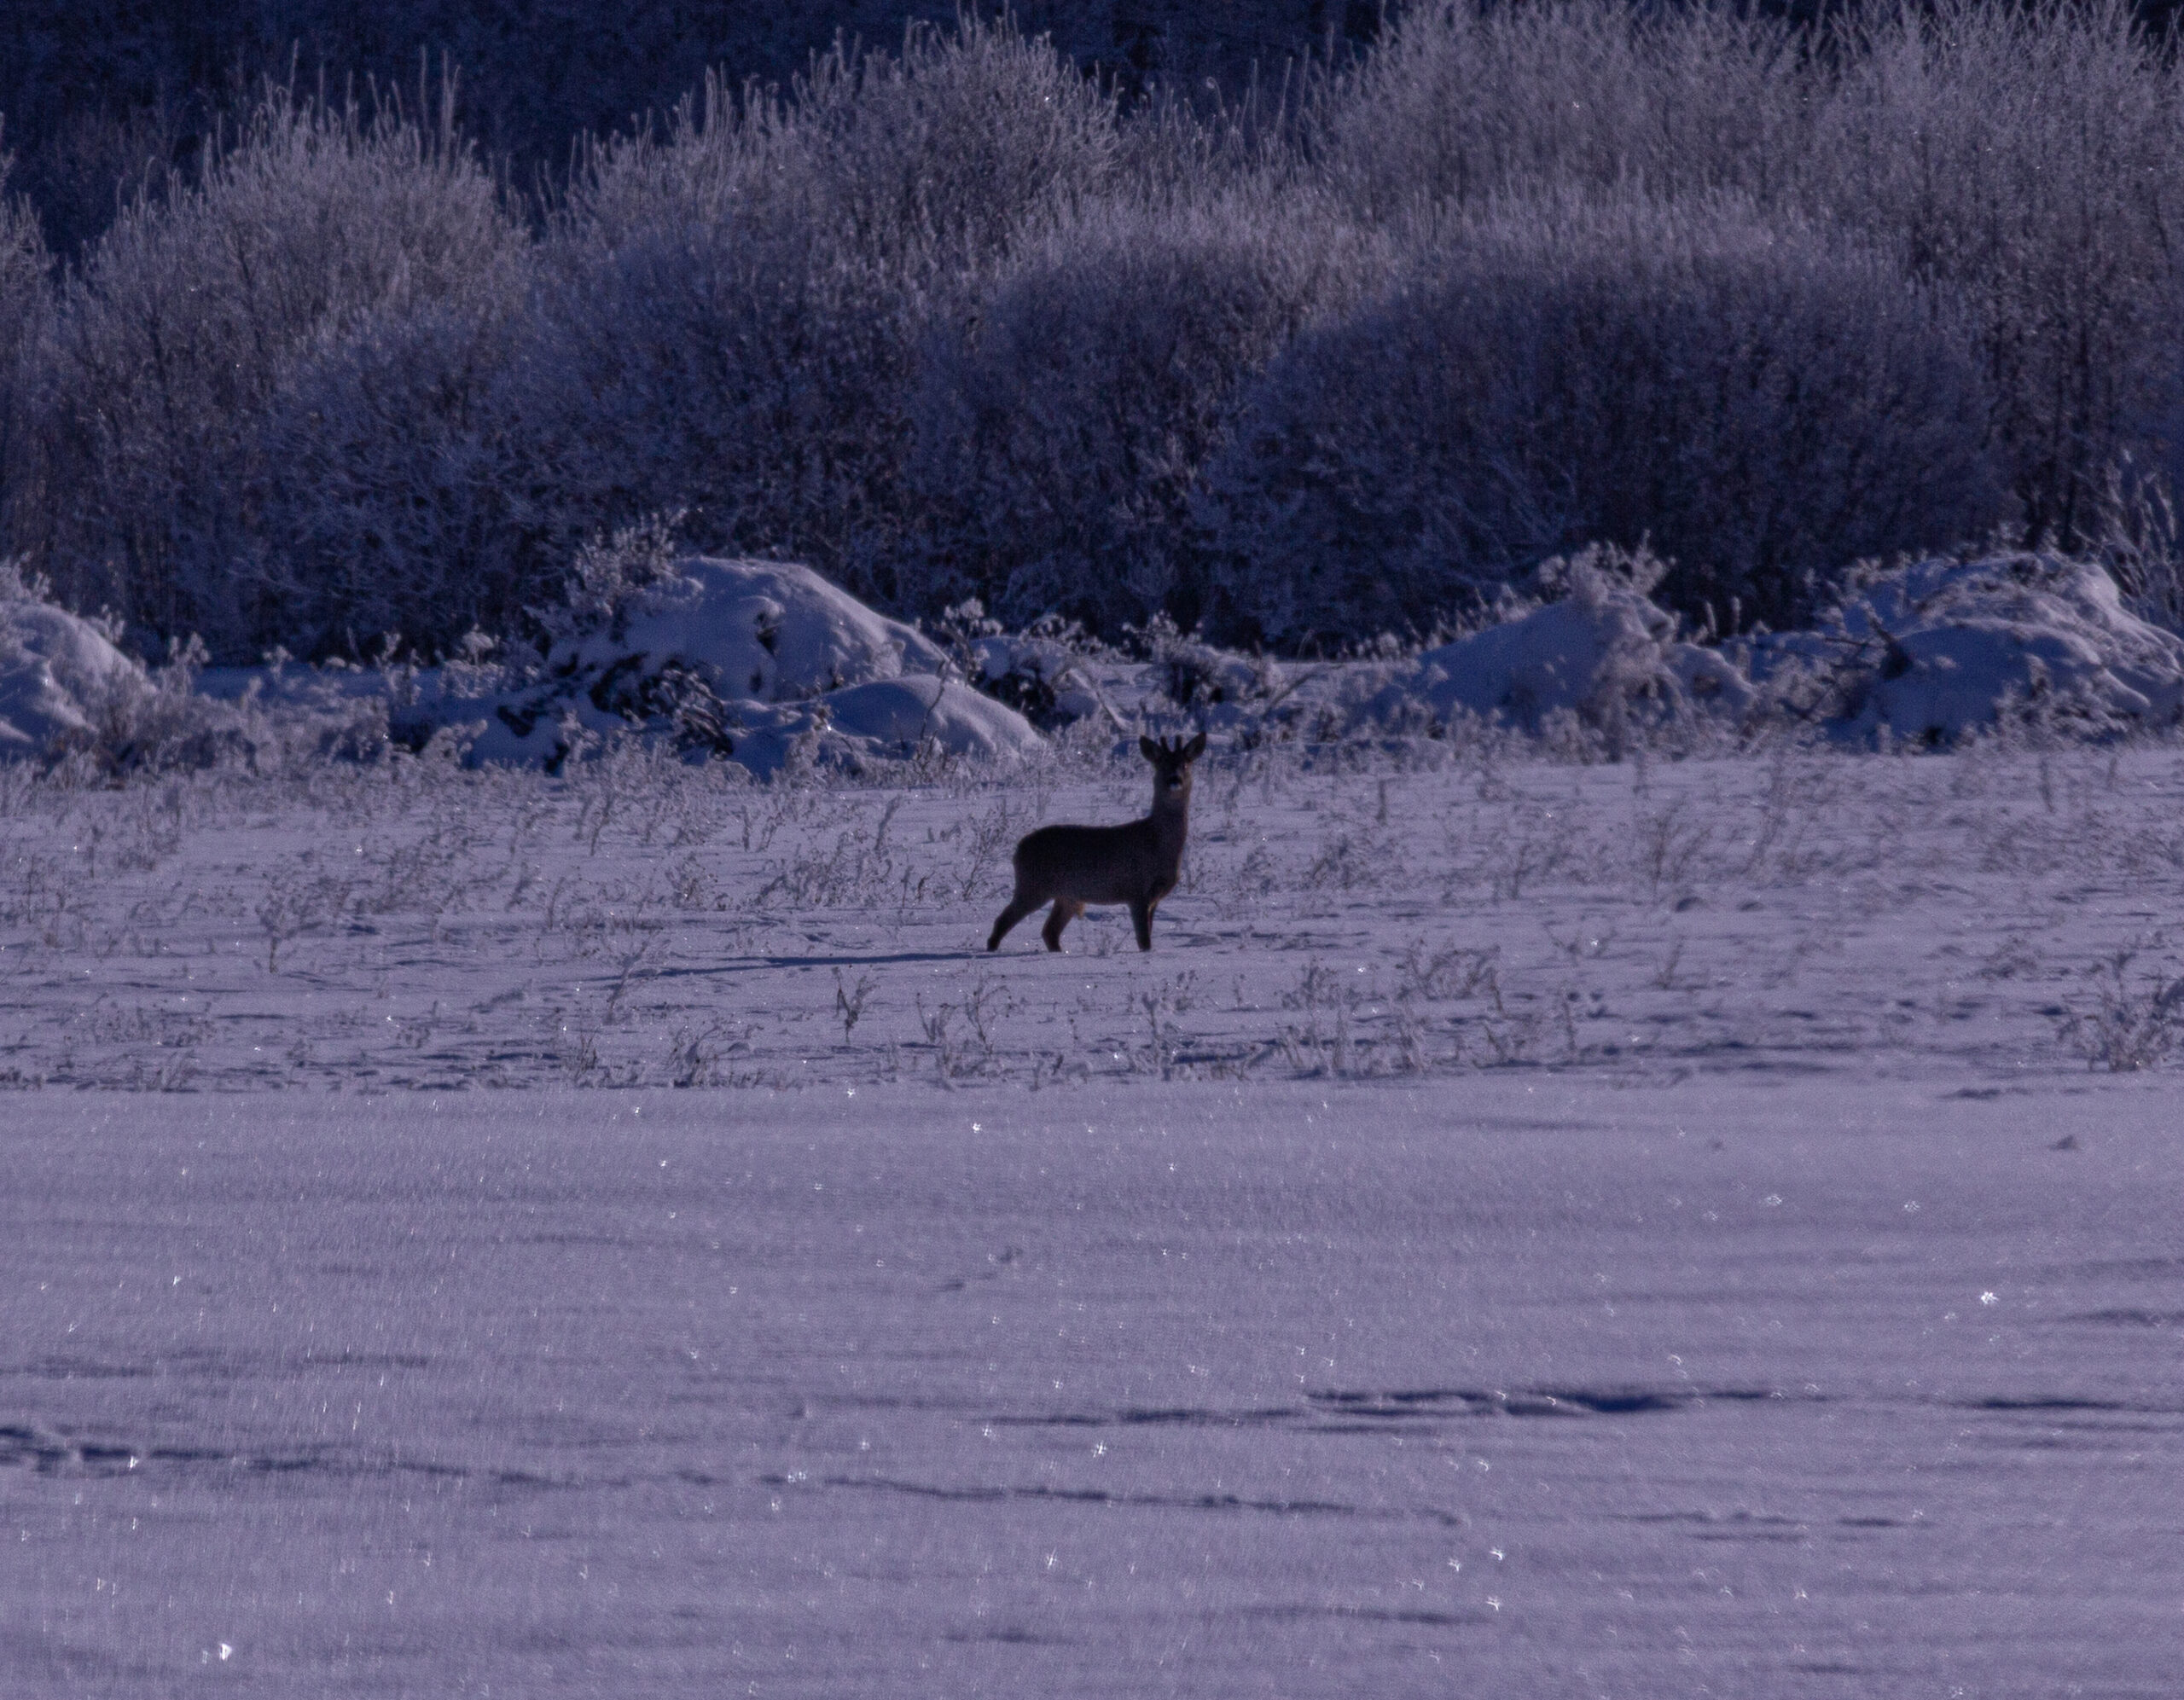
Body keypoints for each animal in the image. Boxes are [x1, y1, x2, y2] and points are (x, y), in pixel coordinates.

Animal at [988, 732, 1207, 953]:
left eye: (1185, 764)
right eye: (1161, 764)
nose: (1174, 779)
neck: (1157, 841)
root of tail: (1018, 849)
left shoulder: (1155, 897)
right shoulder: (1137, 891)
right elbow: (1144, 940)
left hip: (1067, 896)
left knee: (1049, 931)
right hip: (1033, 885)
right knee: (1003, 921)